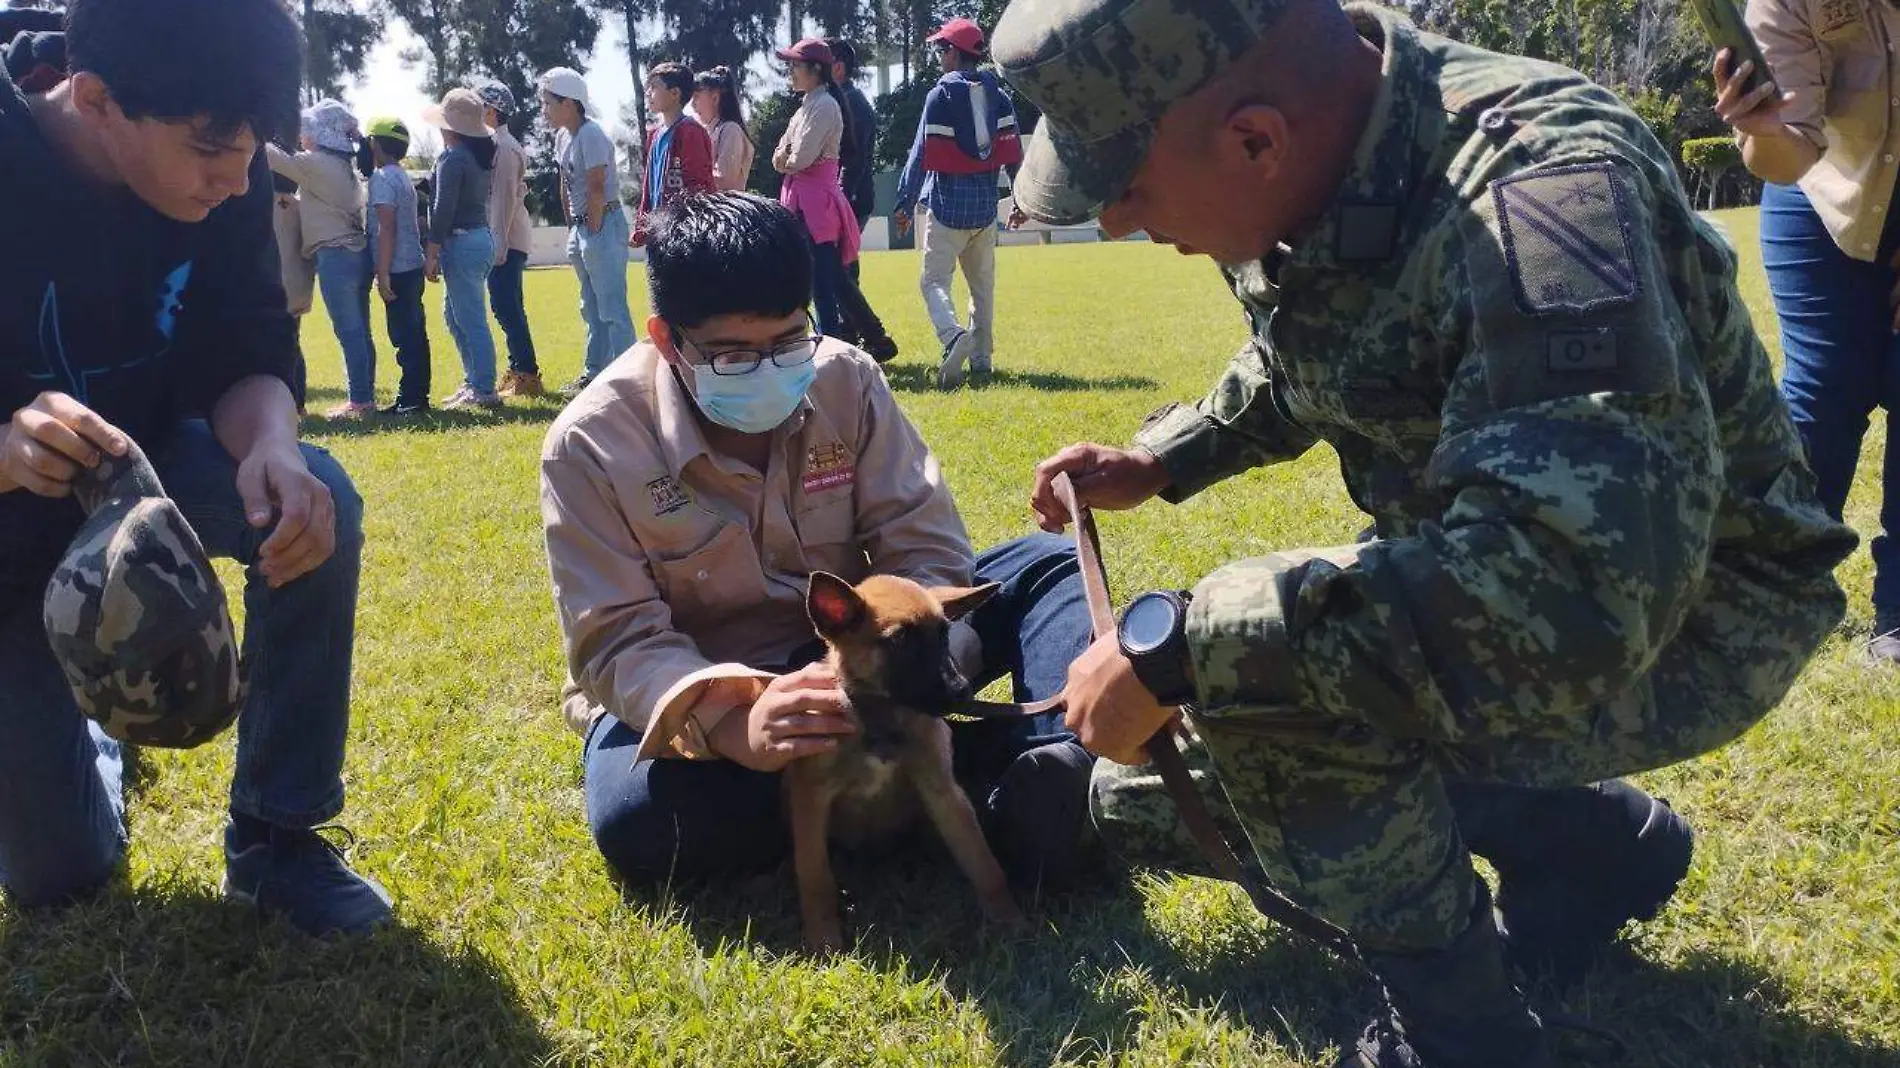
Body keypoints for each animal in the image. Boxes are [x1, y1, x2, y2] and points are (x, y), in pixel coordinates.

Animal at [786, 570, 1026, 950]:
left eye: (944, 634)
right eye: (899, 640)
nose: (961, 691)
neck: (881, 718)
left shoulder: (942, 790)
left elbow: (983, 861)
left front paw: (1008, 918)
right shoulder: (811, 797)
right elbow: (814, 876)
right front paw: (824, 940)